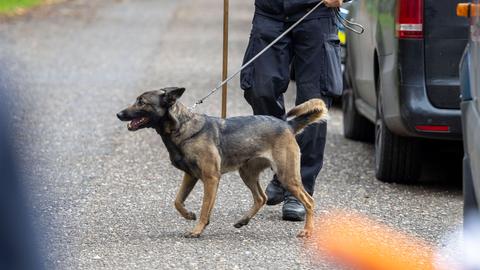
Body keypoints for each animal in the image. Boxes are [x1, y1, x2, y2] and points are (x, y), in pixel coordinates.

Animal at [116, 87, 328, 237]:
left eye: (141, 102)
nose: (119, 114)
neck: (182, 127)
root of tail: (288, 125)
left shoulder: (211, 179)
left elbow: (204, 207)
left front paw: (197, 229)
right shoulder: (190, 176)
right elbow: (177, 201)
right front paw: (189, 215)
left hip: (287, 176)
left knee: (309, 201)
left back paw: (307, 231)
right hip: (247, 173)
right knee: (261, 197)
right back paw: (243, 220)